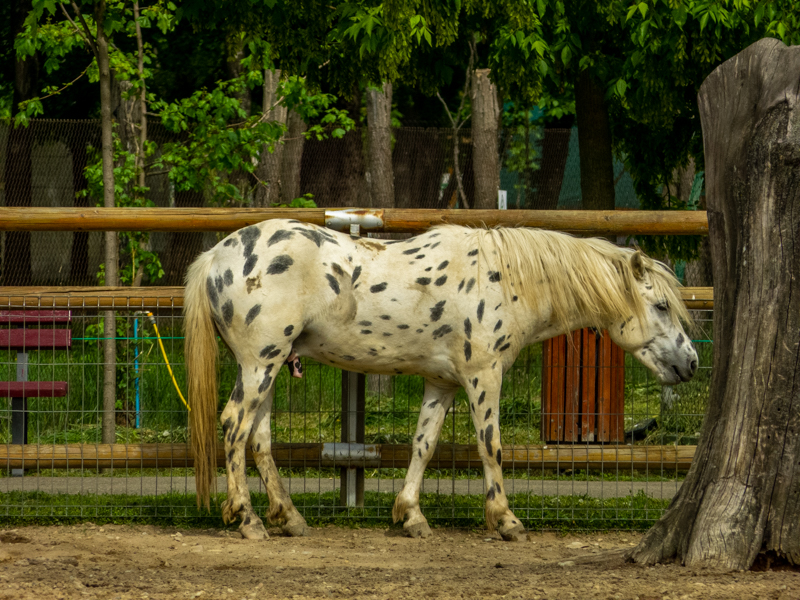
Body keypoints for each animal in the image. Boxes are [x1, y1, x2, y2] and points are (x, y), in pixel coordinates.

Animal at [184, 219, 697, 541]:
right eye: (661, 306)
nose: (690, 363)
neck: (505, 277)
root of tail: (216, 256)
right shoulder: (483, 376)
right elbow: (490, 446)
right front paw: (506, 520)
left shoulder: (442, 383)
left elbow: (423, 446)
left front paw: (411, 516)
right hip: (260, 364)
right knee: (233, 426)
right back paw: (247, 519)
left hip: (269, 367)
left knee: (258, 439)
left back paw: (288, 518)